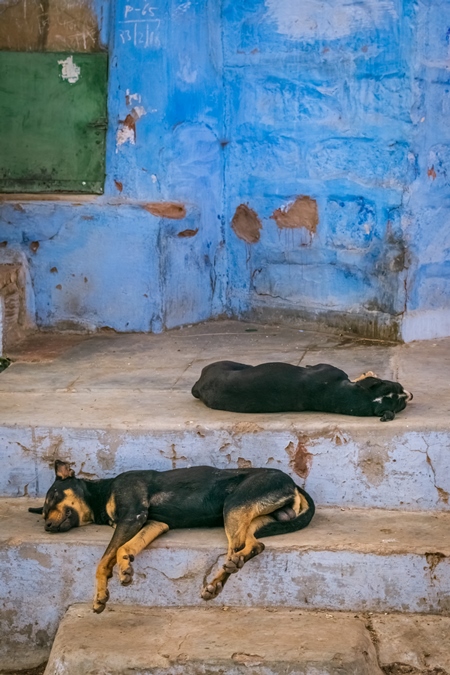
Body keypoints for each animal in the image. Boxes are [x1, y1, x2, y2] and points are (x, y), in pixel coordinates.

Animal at [29, 462, 314, 616]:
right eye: (43, 511)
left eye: (53, 496)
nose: (48, 526)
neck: (102, 492)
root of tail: (294, 484)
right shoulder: (153, 523)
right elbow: (125, 548)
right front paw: (125, 567)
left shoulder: (133, 515)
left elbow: (104, 559)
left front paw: (101, 594)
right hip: (252, 517)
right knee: (254, 544)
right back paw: (218, 583)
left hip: (234, 505)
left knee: (242, 548)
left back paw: (222, 577)